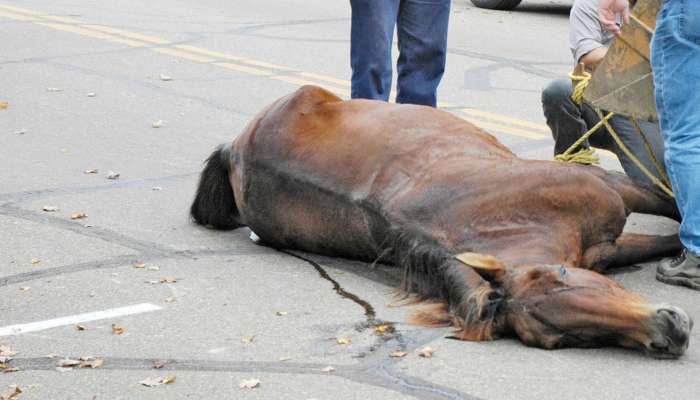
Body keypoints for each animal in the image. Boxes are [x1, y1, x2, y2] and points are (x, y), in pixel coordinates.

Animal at [191, 86, 696, 358]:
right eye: (561, 339)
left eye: (564, 275)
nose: (670, 331)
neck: (510, 216)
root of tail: (235, 148)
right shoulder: (609, 231)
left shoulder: (616, 197)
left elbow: (672, 220)